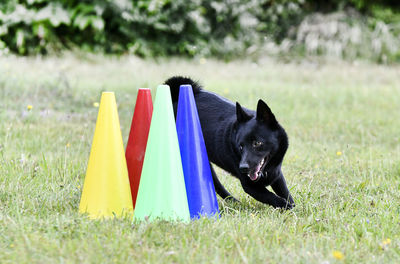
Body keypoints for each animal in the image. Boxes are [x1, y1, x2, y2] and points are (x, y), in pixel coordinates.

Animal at [163, 76, 294, 208]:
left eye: (257, 143)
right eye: (241, 146)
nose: (243, 168)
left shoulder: (276, 174)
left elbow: (285, 192)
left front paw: (293, 206)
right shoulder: (250, 186)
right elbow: (272, 197)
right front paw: (287, 206)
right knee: (217, 185)